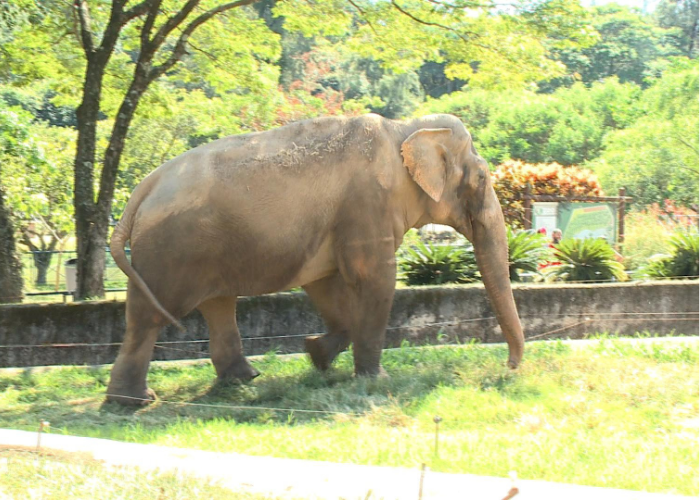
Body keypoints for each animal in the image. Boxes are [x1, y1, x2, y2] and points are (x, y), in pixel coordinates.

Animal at [106, 113, 524, 405]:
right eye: (483, 178)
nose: (510, 369)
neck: (403, 128)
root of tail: (141, 191)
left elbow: (325, 284)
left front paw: (316, 355)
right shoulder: (367, 205)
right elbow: (374, 280)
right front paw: (375, 380)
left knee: (218, 306)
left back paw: (244, 380)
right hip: (170, 252)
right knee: (148, 318)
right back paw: (132, 402)